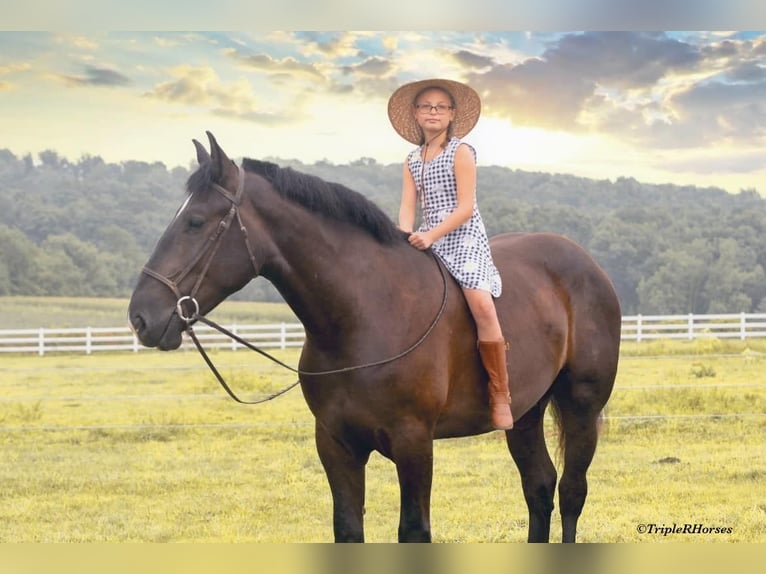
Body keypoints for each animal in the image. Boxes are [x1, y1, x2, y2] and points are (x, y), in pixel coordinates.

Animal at [129, 132, 620, 544]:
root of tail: (587, 264)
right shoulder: (335, 444)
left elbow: (414, 531)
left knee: (571, 492)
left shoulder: (414, 443)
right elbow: (348, 529)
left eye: (195, 222)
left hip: (580, 406)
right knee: (539, 487)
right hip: (524, 414)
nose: (140, 317)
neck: (363, 316)